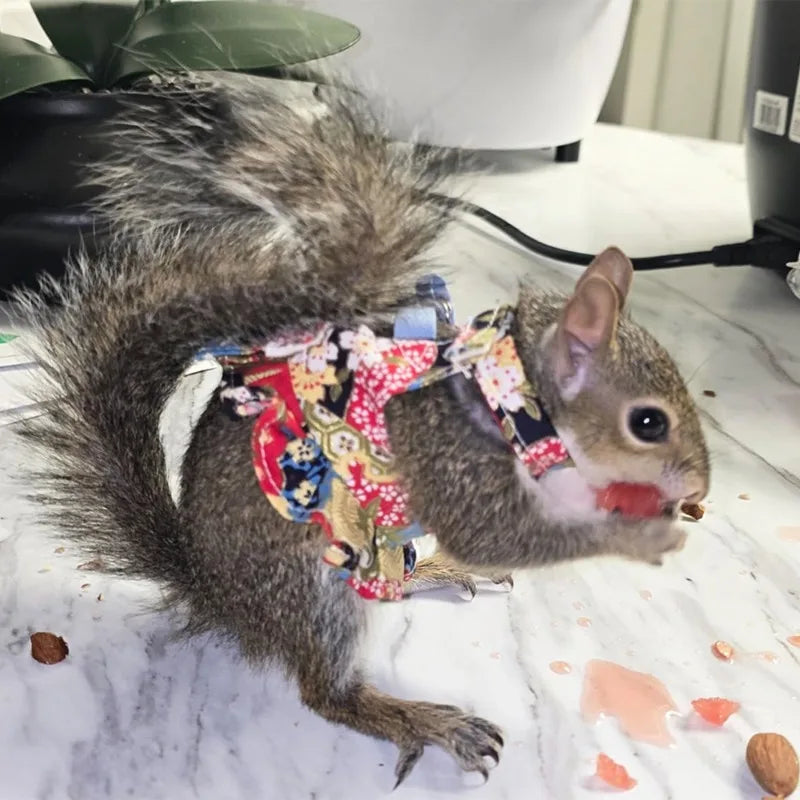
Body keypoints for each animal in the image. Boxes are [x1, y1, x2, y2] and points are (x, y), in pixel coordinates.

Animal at [13, 73, 710, 787]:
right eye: (648, 422)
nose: (695, 487)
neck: (508, 394)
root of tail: (217, 594)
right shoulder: (454, 468)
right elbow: (499, 532)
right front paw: (640, 534)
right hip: (316, 588)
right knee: (328, 695)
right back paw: (425, 721)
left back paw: (431, 572)